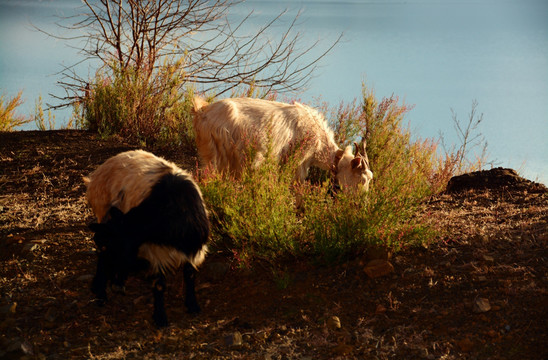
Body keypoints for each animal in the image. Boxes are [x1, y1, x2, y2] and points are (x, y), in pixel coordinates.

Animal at [85, 150, 210, 328]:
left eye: (116, 247)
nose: (114, 285)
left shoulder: (194, 249)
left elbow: (190, 275)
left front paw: (193, 305)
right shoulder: (155, 251)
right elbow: (159, 285)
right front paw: (160, 318)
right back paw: (102, 293)